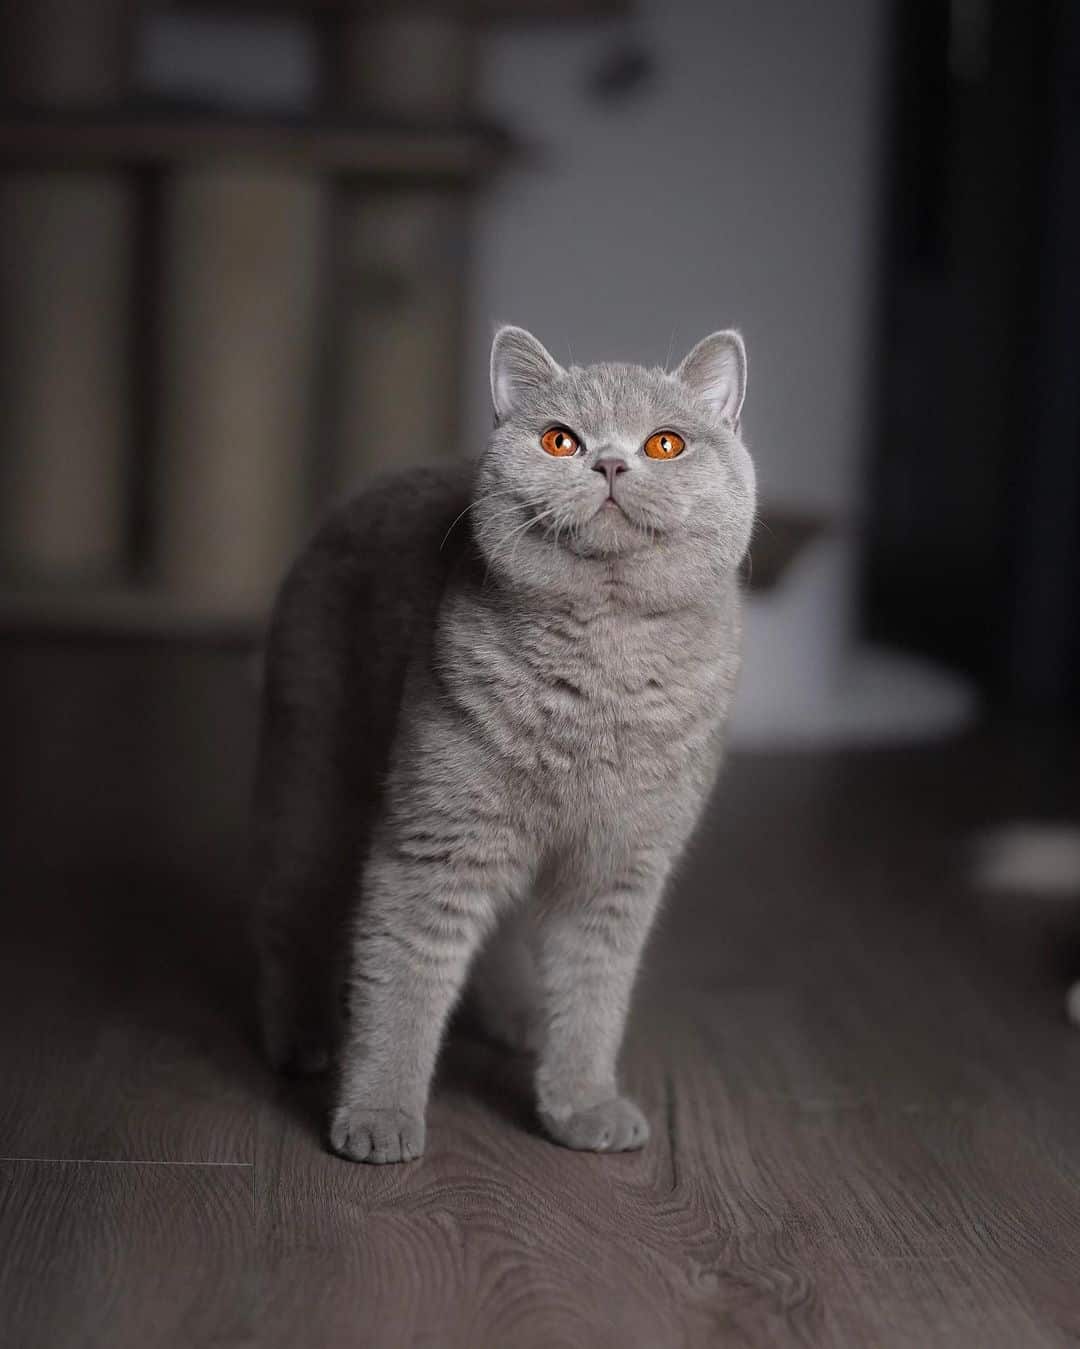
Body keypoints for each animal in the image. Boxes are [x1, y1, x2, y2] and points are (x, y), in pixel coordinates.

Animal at [253, 323, 760, 1160]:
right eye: (561, 440)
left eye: (665, 442)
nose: (610, 462)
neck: (605, 666)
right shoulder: (436, 841)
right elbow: (403, 980)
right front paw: (377, 1115)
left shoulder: (618, 867)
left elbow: (593, 994)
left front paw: (581, 1103)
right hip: (314, 768)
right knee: (293, 904)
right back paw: (302, 1037)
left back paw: (522, 1023)